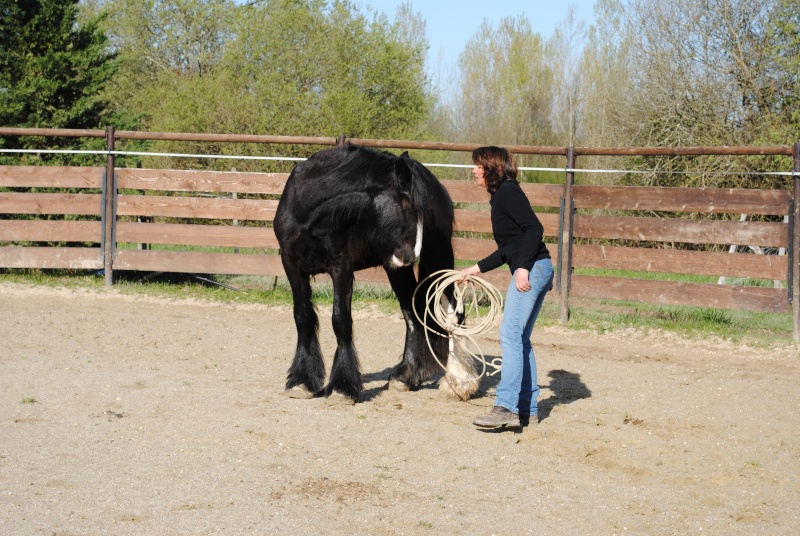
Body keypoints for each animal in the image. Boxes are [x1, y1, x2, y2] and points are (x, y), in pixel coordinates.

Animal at [274, 142, 456, 402]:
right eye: (407, 205)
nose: (411, 254)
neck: (306, 214)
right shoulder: (291, 266)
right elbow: (303, 317)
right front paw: (302, 381)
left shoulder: (341, 268)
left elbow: (341, 320)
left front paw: (342, 386)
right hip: (396, 270)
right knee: (412, 313)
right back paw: (406, 377)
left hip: (438, 258)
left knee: (453, 313)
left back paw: (457, 382)